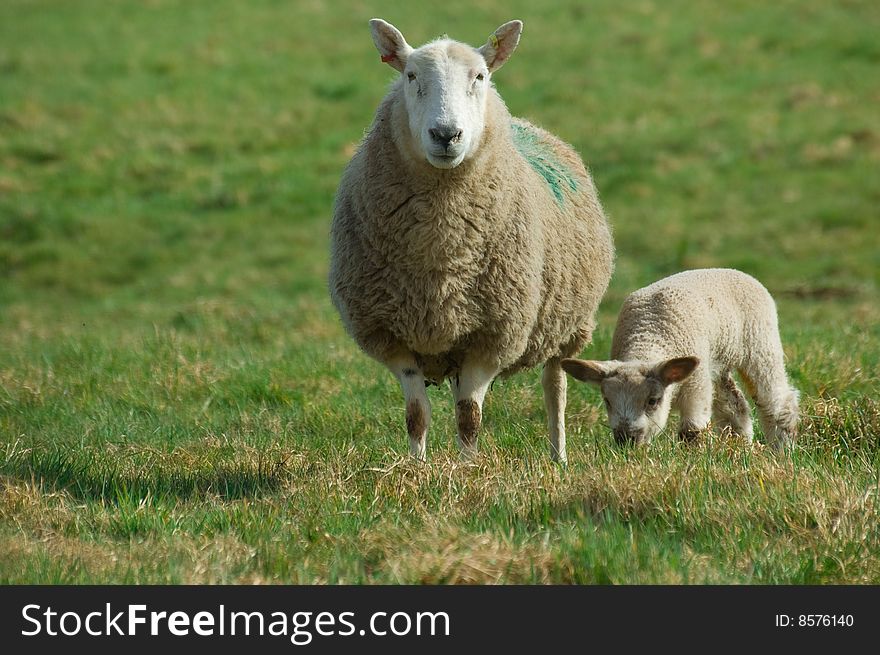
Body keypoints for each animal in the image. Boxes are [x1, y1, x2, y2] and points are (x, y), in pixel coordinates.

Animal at [328, 18, 612, 464]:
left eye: (480, 76)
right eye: (411, 76)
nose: (446, 134)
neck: (440, 249)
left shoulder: (493, 334)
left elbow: (468, 416)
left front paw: (468, 469)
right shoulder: (393, 336)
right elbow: (416, 414)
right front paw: (417, 467)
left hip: (567, 325)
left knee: (555, 387)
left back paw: (559, 456)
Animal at [564, 270, 796, 448]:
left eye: (652, 401)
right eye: (607, 400)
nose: (626, 440)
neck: (648, 338)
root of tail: (740, 273)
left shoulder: (695, 386)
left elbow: (692, 431)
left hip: (760, 344)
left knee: (777, 400)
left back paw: (783, 447)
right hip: (715, 363)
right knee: (734, 404)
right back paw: (740, 444)